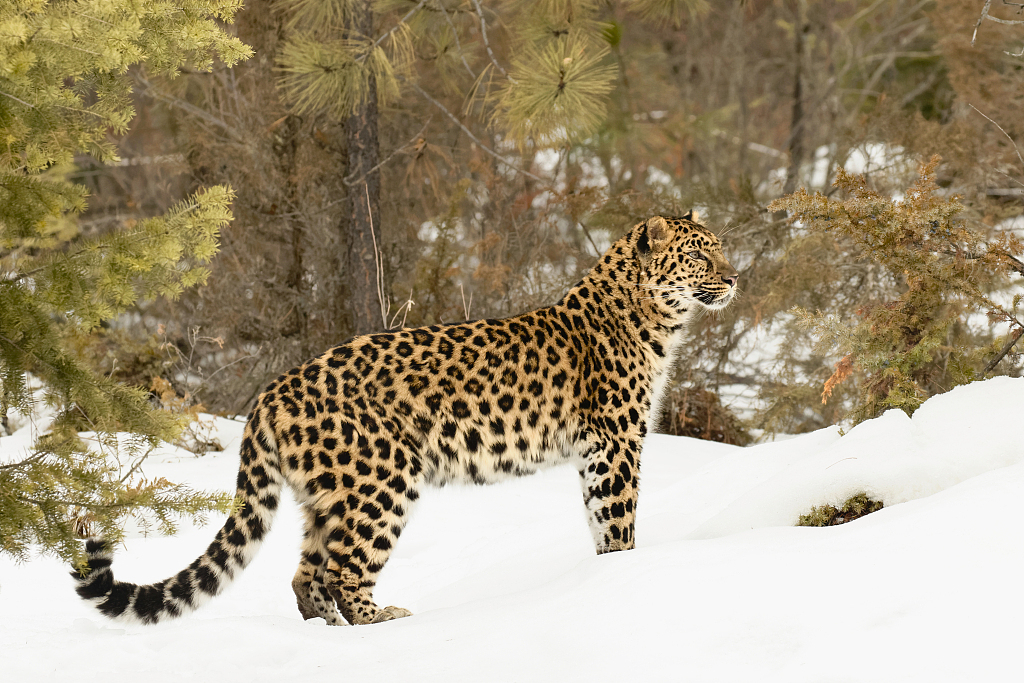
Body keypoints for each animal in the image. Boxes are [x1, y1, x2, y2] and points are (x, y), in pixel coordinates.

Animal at [73, 212, 739, 626]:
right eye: (699, 255)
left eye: (721, 249)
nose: (735, 277)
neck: (654, 320)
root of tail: (269, 393)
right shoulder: (615, 442)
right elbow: (617, 521)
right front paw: (624, 573)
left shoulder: (600, 448)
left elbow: (601, 525)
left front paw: (606, 577)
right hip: (383, 478)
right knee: (343, 569)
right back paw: (383, 620)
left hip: (327, 495)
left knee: (306, 574)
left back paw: (331, 629)